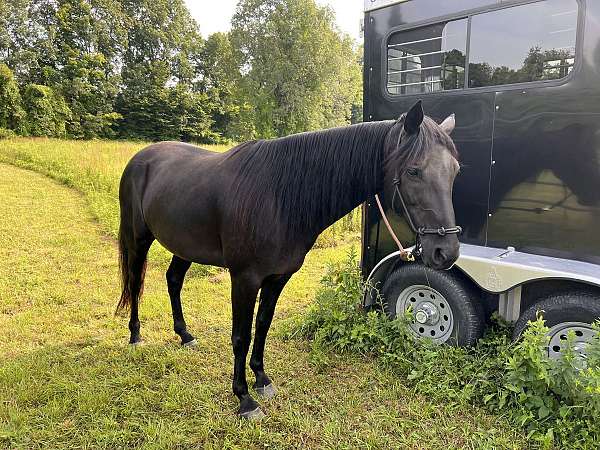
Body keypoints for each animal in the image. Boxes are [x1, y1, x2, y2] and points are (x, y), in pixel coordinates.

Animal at [115, 101, 458, 418]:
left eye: (455, 170)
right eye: (413, 170)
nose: (446, 251)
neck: (277, 199)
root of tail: (140, 158)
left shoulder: (278, 278)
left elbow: (263, 325)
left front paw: (262, 379)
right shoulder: (244, 279)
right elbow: (241, 335)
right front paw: (244, 399)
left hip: (184, 245)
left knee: (173, 280)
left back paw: (185, 335)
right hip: (139, 239)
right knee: (134, 280)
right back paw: (135, 335)